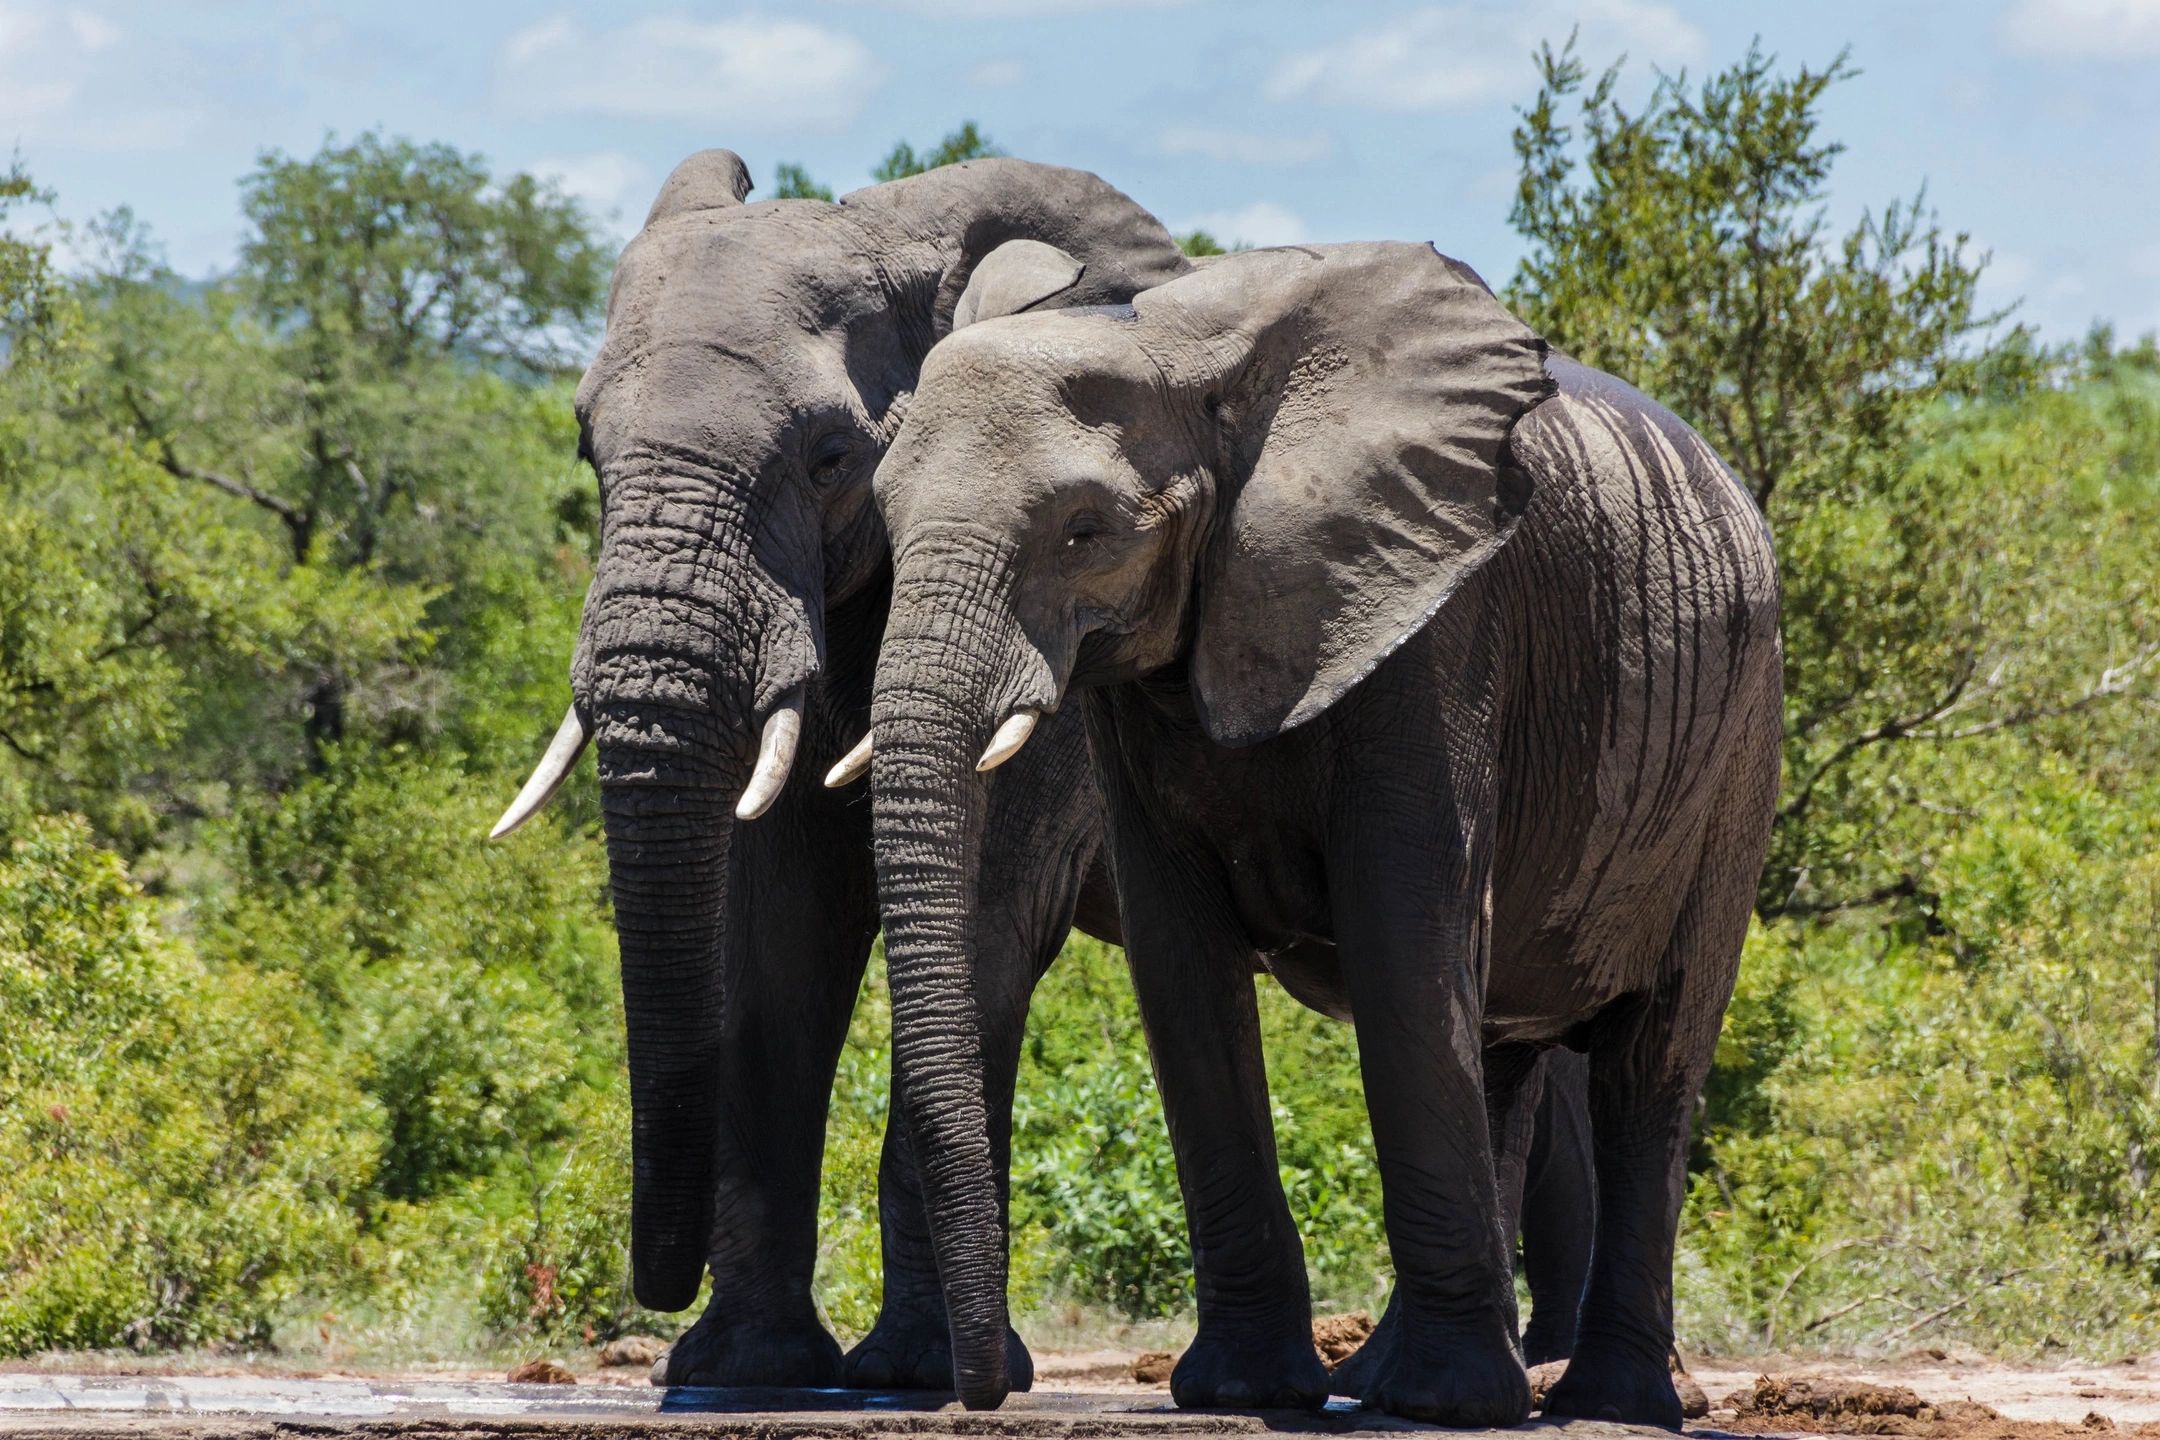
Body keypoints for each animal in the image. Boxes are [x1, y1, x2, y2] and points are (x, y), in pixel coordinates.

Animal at [851, 241, 1779, 1424]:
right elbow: (1183, 969)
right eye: (882, 516)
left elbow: (1400, 936)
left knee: (1648, 1070)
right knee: (1500, 1053)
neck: (1182, 357)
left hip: (1737, 757)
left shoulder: (1440, 628)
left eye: (1084, 530)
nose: (978, 1396)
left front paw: (1450, 1408)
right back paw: (1395, 1382)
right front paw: (1246, 1389)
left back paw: (1603, 1403)